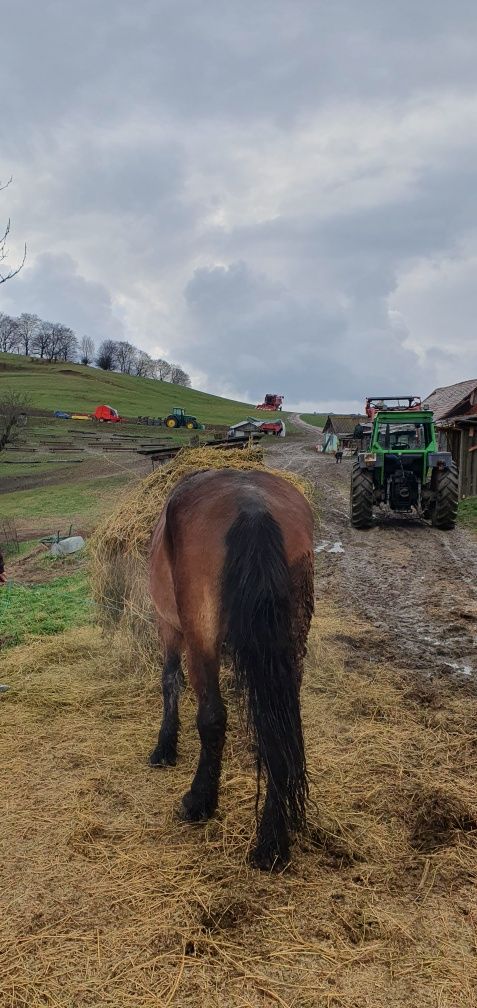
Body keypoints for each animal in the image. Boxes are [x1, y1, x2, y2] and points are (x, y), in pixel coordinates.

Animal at [148, 463, 312, 866]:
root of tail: (252, 506)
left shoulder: (168, 626)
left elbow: (170, 681)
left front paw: (165, 748)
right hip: (291, 641)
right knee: (278, 723)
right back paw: (272, 840)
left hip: (200, 635)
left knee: (212, 716)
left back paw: (199, 802)